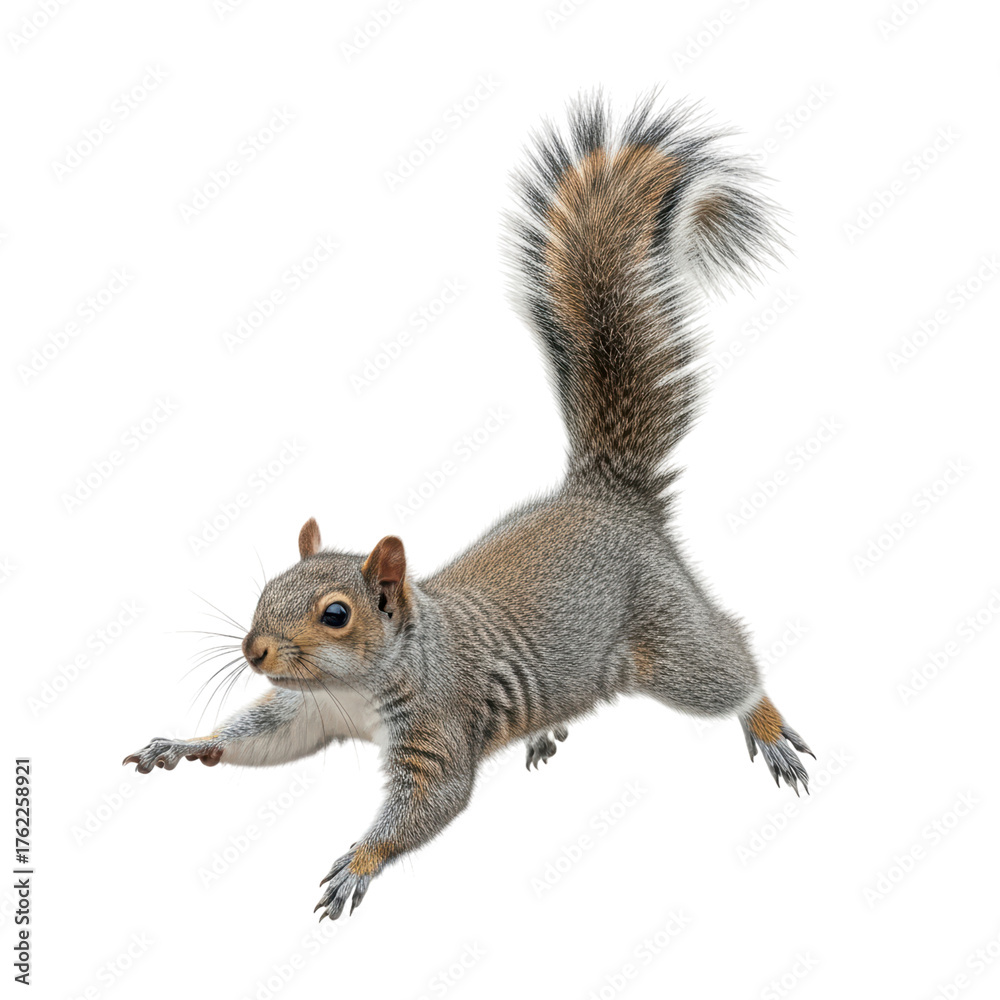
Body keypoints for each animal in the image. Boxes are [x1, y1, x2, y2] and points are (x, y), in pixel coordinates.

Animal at [124, 93, 814, 921]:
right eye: (264, 592)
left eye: (336, 614)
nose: (253, 651)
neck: (361, 683)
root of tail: (604, 493)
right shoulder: (311, 712)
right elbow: (261, 739)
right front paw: (186, 743)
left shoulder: (439, 724)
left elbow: (432, 801)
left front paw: (358, 862)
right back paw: (545, 733)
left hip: (666, 633)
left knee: (727, 661)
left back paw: (765, 723)